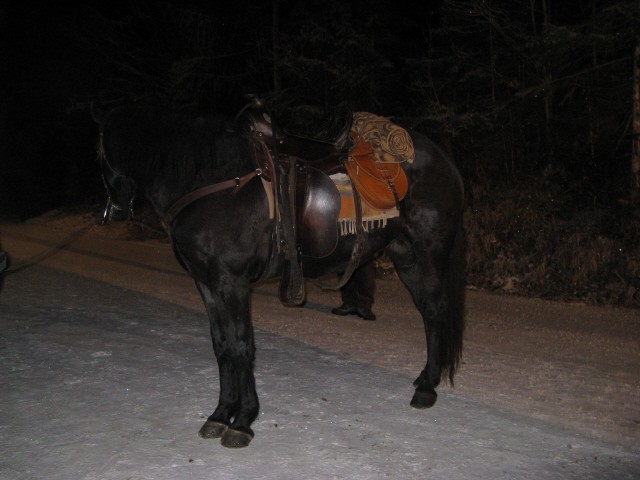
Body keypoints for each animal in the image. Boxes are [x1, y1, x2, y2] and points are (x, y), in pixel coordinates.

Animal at [95, 103, 464, 448]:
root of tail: (444, 159)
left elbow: (242, 345)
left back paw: (428, 387)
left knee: (435, 311)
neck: (214, 178)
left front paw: (243, 421)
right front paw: (220, 414)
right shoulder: (207, 284)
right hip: (405, 257)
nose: (116, 208)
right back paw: (425, 378)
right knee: (428, 313)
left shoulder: (232, 281)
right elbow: (222, 346)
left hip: (427, 254)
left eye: (98, 151)